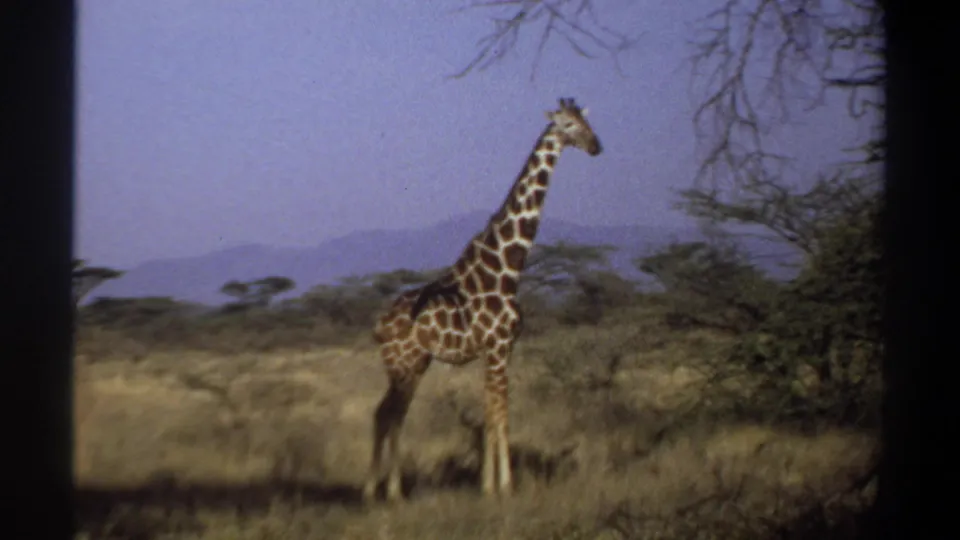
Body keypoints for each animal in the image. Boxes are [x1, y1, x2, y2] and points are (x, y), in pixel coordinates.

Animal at [363, 97, 603, 503]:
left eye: (587, 122)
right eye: (568, 125)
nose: (595, 146)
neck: (506, 269)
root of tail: (379, 325)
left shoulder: (497, 351)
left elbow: (490, 414)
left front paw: (487, 485)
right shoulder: (498, 347)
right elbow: (501, 415)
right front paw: (506, 486)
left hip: (414, 364)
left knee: (389, 414)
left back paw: (383, 490)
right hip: (403, 365)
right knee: (388, 415)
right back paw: (383, 491)